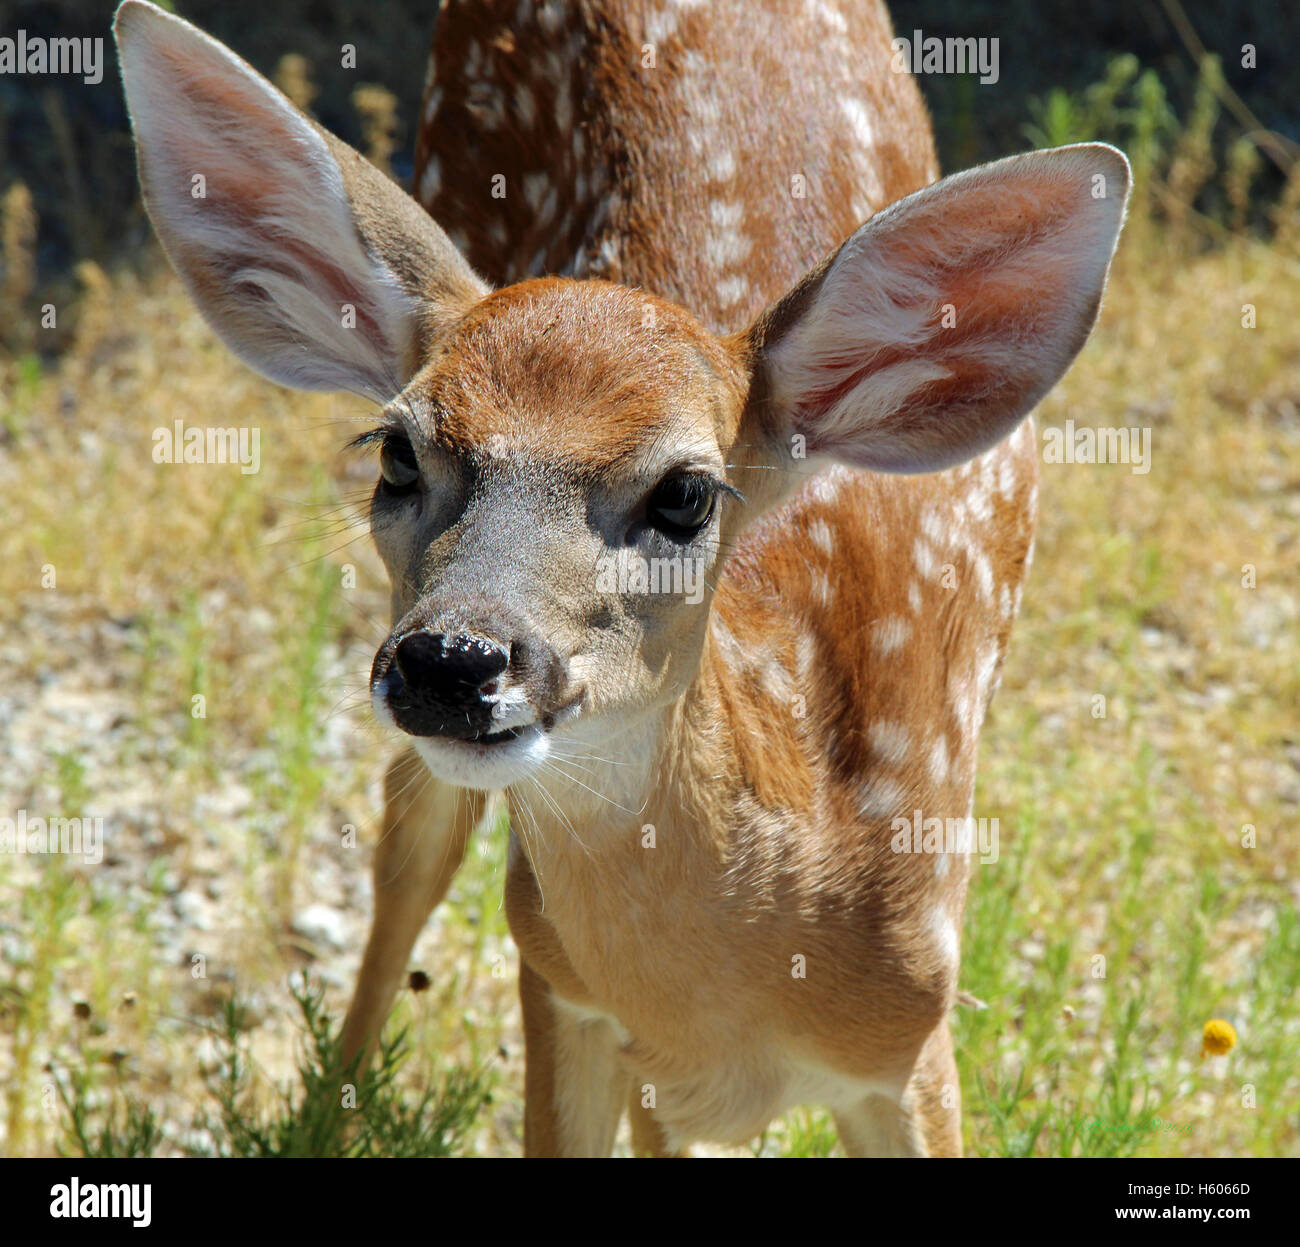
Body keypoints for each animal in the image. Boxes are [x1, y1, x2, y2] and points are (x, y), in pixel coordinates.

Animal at [114, 0, 1128, 1156]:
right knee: (410, 841)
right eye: (397, 452)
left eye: (686, 492)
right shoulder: (554, 981)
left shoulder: (912, 1038)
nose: (453, 657)